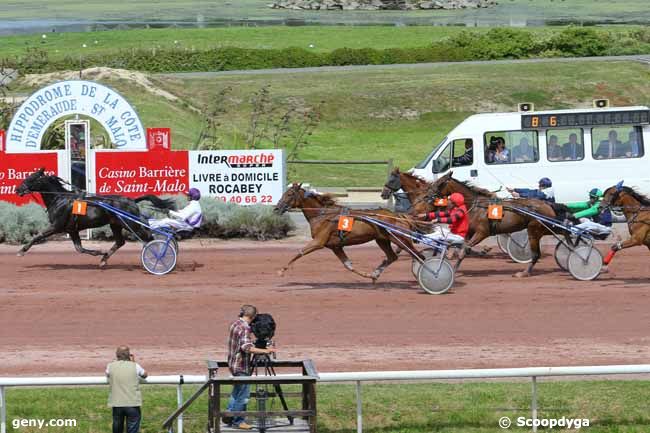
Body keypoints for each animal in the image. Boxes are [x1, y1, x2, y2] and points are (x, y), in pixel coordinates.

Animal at [15, 167, 175, 264]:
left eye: (31, 178)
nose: (17, 189)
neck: (59, 199)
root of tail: (131, 200)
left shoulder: (56, 226)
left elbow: (38, 236)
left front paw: (21, 251)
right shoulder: (72, 229)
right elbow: (79, 249)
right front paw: (99, 252)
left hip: (129, 223)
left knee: (147, 236)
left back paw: (159, 255)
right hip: (116, 224)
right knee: (121, 241)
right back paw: (104, 259)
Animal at [272, 183, 420, 282]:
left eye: (289, 194)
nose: (276, 208)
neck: (323, 214)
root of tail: (398, 215)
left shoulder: (319, 242)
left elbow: (300, 252)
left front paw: (281, 270)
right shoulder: (335, 246)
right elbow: (348, 265)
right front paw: (368, 275)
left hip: (400, 238)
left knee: (418, 255)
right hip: (382, 240)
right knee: (392, 257)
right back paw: (376, 274)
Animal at [426, 172, 572, 276]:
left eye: (440, 182)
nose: (427, 195)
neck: (477, 206)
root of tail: (548, 204)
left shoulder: (482, 232)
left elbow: (464, 250)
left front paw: (453, 271)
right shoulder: (470, 232)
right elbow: (463, 247)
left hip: (535, 230)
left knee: (536, 254)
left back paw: (524, 272)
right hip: (544, 228)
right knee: (563, 231)